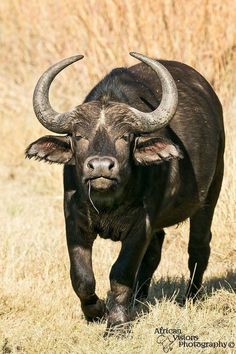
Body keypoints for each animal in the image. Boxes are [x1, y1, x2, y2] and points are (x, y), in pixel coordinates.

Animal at [25, 53, 225, 332]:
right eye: (78, 136)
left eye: (125, 136)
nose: (100, 167)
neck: (107, 202)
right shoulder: (74, 221)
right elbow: (81, 277)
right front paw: (96, 312)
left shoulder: (141, 225)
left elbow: (121, 273)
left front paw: (117, 322)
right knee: (154, 252)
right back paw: (139, 299)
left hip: (210, 196)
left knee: (198, 247)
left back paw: (190, 298)